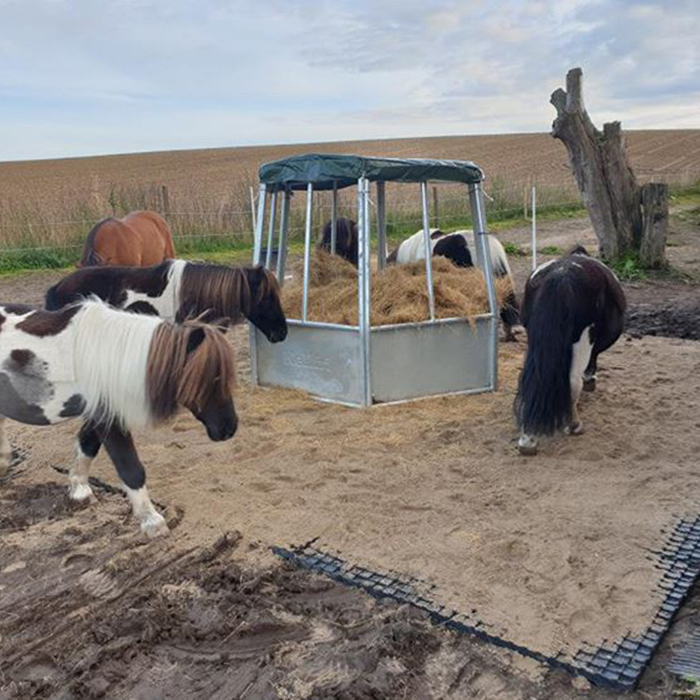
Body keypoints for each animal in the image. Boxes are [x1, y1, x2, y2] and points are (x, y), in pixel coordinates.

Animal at [0, 300, 238, 536]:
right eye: (211, 377)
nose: (229, 428)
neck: (111, 358)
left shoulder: (98, 414)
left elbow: (87, 447)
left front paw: (80, 491)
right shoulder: (109, 419)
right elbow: (130, 468)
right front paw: (152, 522)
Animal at [512, 249, 628, 456]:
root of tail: (562, 276)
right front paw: (590, 379)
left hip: (535, 342)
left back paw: (528, 438)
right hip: (582, 340)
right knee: (573, 382)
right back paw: (574, 425)